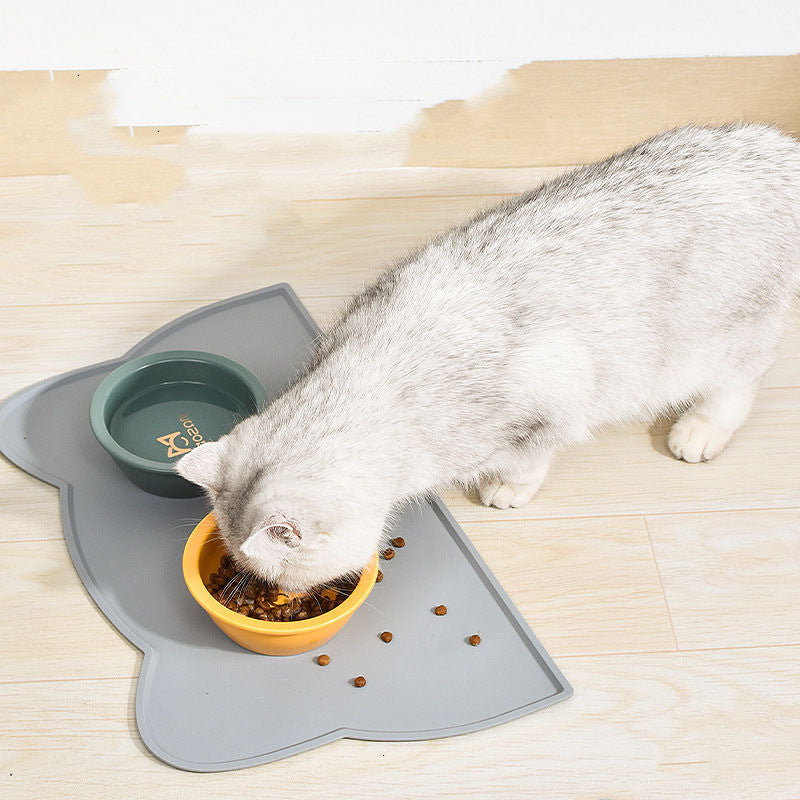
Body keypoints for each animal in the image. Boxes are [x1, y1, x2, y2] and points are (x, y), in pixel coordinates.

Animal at [177, 122, 800, 592]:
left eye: (276, 576)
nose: (282, 596)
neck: (376, 378)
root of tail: (780, 147)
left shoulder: (549, 407)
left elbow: (529, 458)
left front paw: (508, 487)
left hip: (725, 336)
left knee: (742, 381)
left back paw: (700, 429)